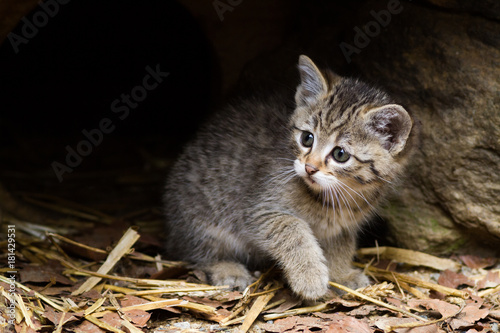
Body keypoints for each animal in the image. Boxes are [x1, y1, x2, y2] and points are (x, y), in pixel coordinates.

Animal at [164, 53, 414, 298]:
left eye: (340, 154)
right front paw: (310, 276)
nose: (310, 168)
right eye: (307, 138)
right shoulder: (260, 210)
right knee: (199, 251)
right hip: (201, 217)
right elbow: (292, 229)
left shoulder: (342, 227)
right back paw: (227, 269)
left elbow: (341, 246)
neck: (338, 197)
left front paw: (342, 274)